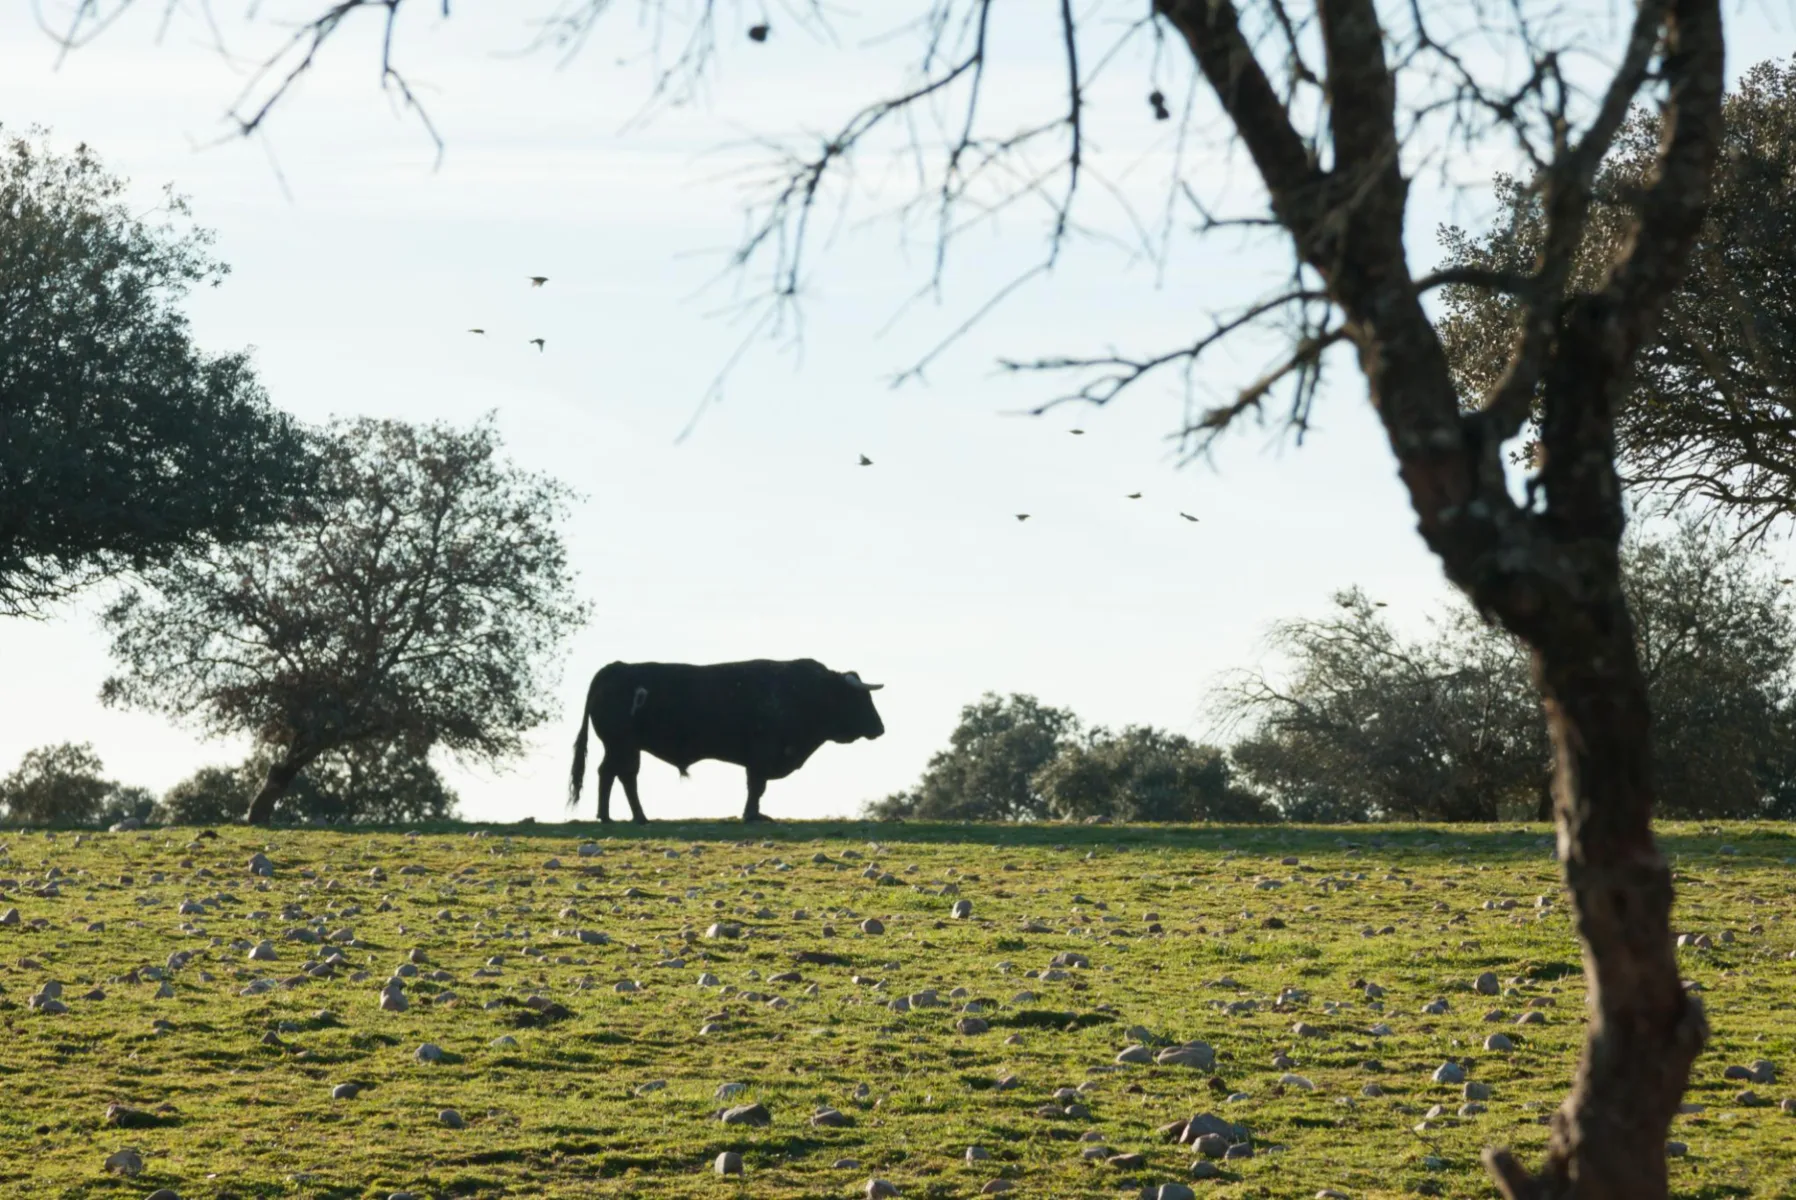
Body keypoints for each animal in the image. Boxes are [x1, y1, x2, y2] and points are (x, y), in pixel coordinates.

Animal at [568, 658, 885, 822]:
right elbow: (756, 787)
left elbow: (756, 788)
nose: (880, 728)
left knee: (619, 775)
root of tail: (616, 667)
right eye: (861, 699)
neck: (808, 693)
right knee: (614, 774)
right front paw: (752, 815)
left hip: (626, 747)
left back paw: (628, 816)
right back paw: (613, 816)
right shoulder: (761, 755)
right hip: (620, 745)